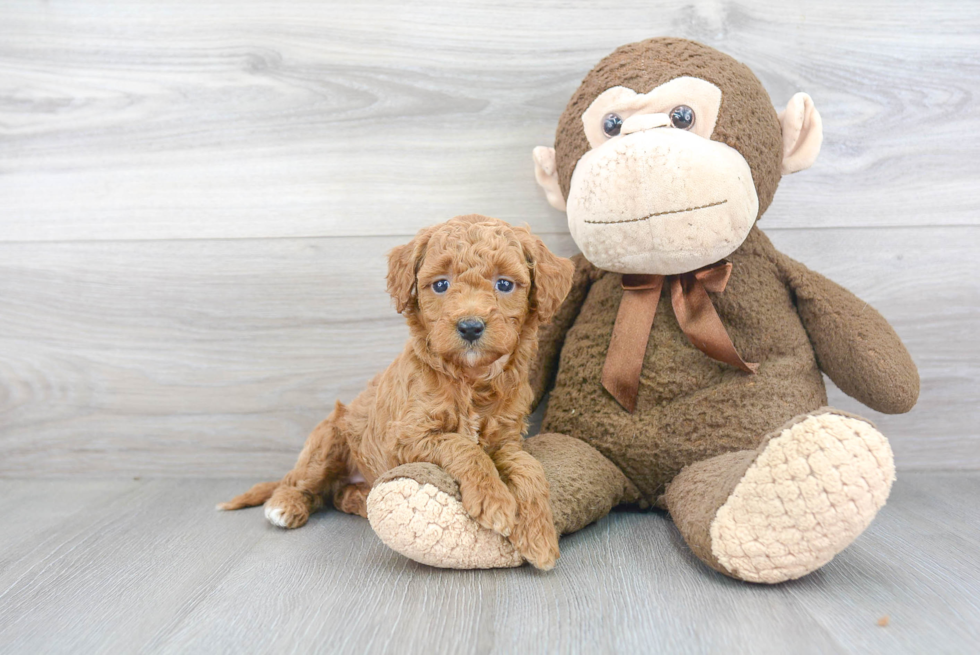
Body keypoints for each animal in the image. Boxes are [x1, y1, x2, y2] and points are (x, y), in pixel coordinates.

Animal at [220, 214, 576, 568]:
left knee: (336, 495)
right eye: (441, 284)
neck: (470, 379)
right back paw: (285, 506)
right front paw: (494, 500)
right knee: (299, 482)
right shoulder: (407, 436)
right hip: (327, 440)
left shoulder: (507, 439)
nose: (470, 326)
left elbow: (528, 466)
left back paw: (360, 498)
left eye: (504, 284)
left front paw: (540, 536)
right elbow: (463, 446)